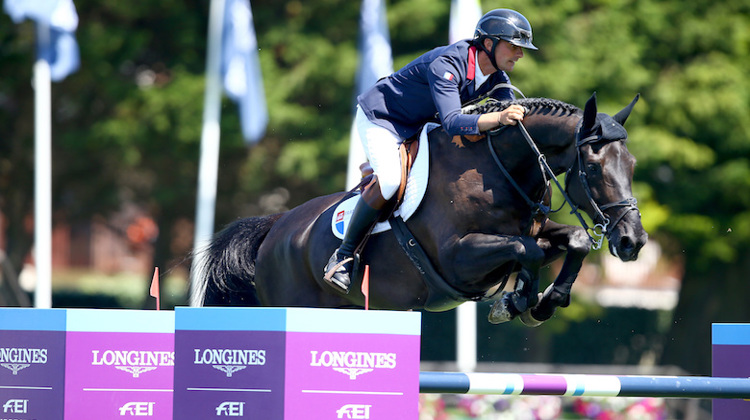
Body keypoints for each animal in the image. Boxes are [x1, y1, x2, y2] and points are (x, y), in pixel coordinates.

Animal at [197, 93, 648, 326]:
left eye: (632, 164)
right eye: (593, 167)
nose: (633, 241)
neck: (499, 170)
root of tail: (275, 228)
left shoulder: (532, 230)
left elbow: (571, 240)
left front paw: (544, 302)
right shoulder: (458, 257)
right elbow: (528, 250)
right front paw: (517, 301)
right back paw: (339, 267)